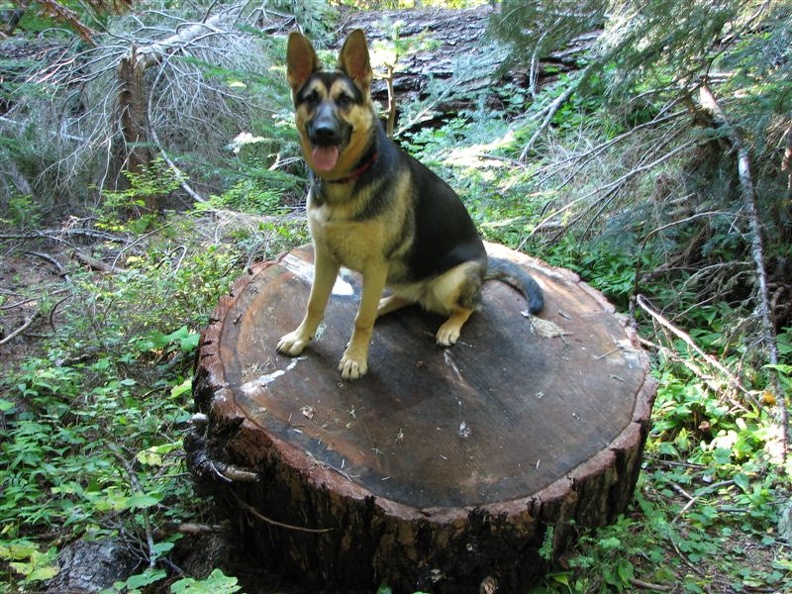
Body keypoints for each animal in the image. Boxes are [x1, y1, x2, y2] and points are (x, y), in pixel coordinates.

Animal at [278, 28, 544, 380]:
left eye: (345, 100)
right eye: (311, 99)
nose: (324, 133)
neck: (345, 181)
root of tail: (485, 264)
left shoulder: (375, 264)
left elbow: (361, 320)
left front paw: (355, 358)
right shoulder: (325, 257)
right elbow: (314, 303)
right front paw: (301, 338)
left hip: (448, 282)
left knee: (473, 306)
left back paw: (449, 326)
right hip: (398, 276)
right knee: (406, 297)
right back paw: (382, 305)